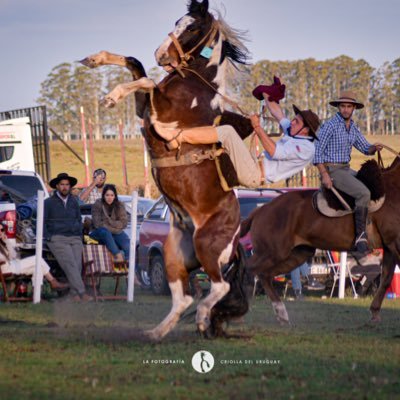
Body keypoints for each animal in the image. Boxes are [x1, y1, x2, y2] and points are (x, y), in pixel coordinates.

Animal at [80, 0, 253, 340]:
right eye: (177, 21)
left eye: (193, 27)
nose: (161, 54)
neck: (194, 85)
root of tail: (237, 239)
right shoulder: (144, 109)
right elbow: (135, 64)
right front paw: (96, 59)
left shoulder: (161, 116)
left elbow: (146, 80)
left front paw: (110, 97)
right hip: (175, 256)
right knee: (184, 296)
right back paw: (157, 332)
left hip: (207, 246)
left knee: (219, 287)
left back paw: (201, 318)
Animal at [241, 155, 400, 324]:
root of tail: (261, 210)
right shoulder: (396, 244)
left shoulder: (390, 248)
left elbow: (386, 279)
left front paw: (375, 312)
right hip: (272, 252)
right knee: (248, 270)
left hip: (296, 255)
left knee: (264, 275)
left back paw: (281, 314)